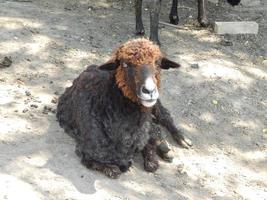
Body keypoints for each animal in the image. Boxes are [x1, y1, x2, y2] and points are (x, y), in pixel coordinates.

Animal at [56, 38, 192, 178]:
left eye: (158, 63)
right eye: (125, 64)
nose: (149, 91)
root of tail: (93, 66)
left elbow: (151, 163)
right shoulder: (87, 152)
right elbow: (114, 170)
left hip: (155, 103)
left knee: (164, 116)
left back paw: (181, 139)